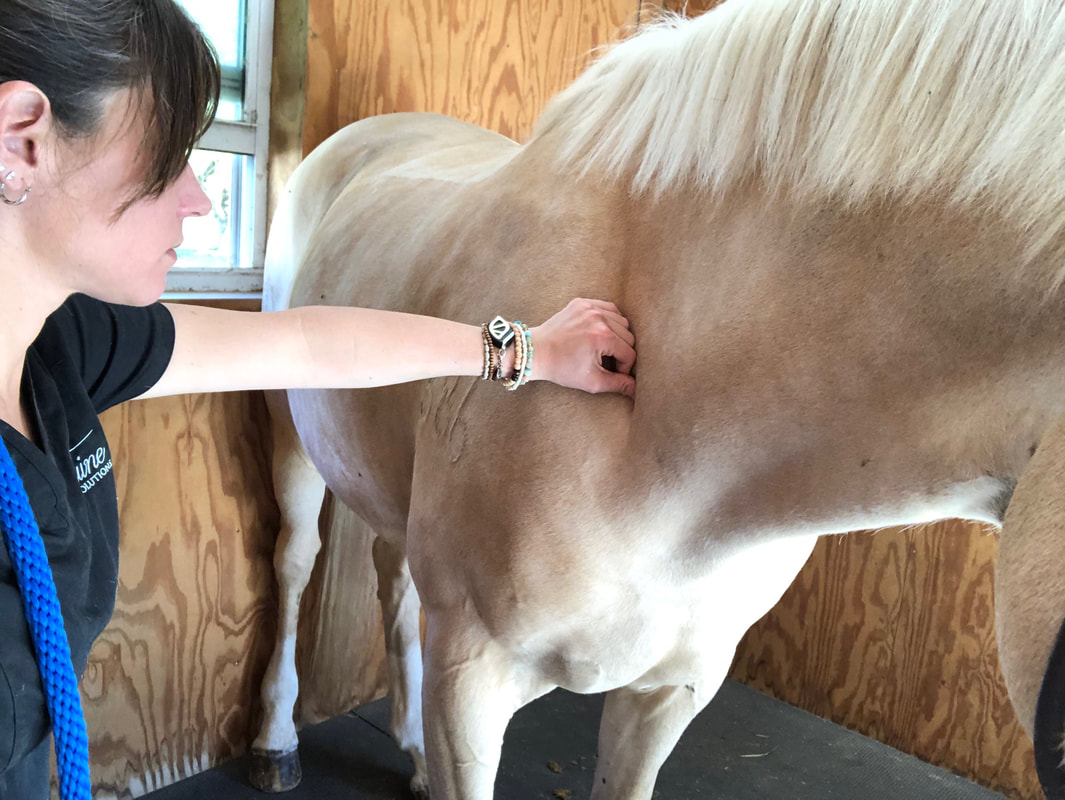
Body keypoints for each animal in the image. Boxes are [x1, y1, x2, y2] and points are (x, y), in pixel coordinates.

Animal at [248, 0, 1065, 797]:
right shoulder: (469, 679)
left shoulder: (670, 689)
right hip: (291, 438)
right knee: (295, 561)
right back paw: (276, 742)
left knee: (394, 580)